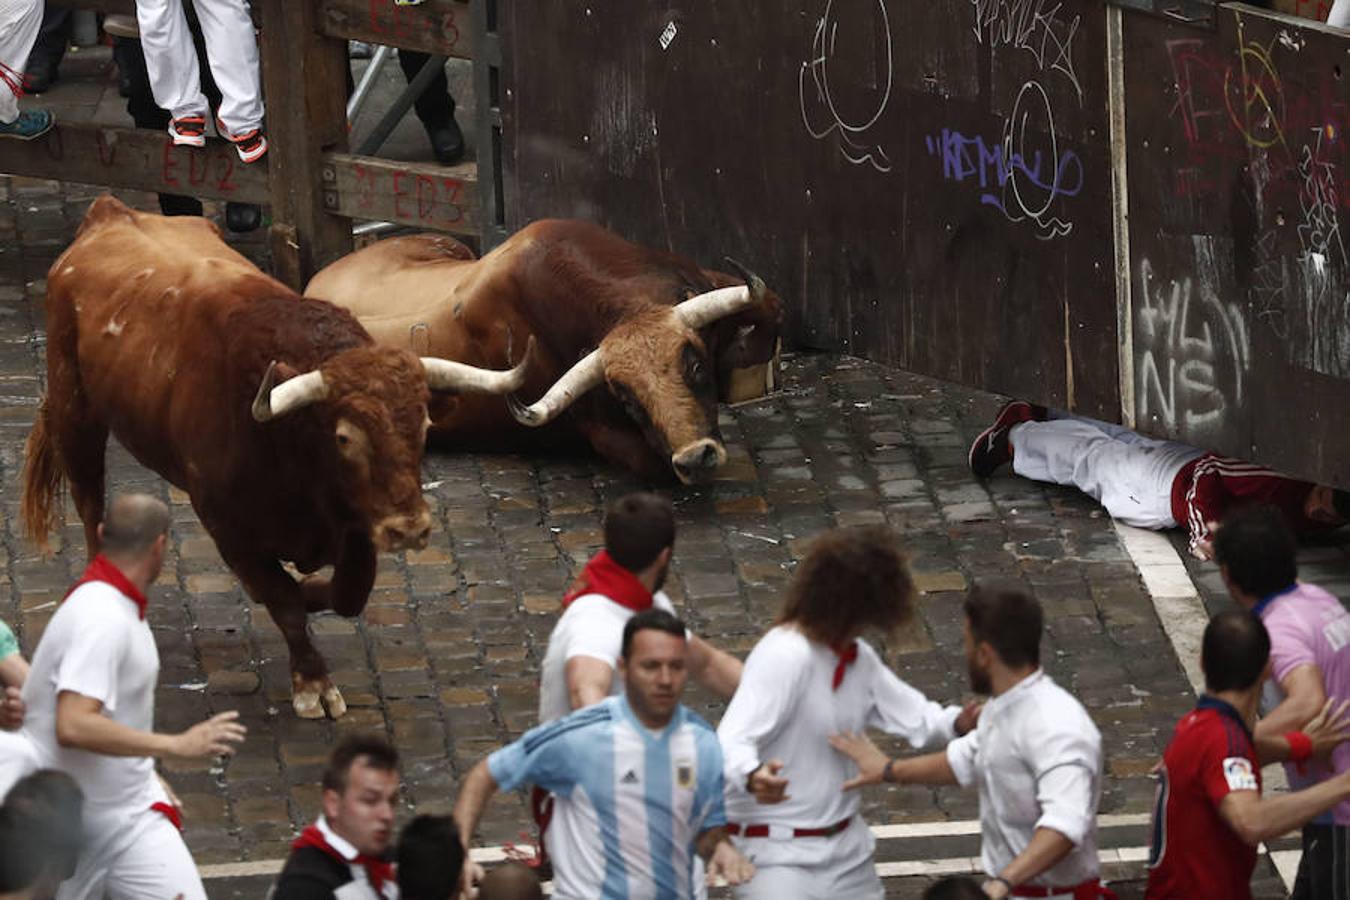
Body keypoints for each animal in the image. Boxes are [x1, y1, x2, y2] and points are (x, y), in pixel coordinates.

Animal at [22, 197, 526, 717]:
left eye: (424, 427)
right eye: (344, 438)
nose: (408, 529)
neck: (291, 448)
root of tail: (109, 213)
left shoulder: (356, 525)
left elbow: (346, 593)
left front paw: (312, 594)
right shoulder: (228, 528)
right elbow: (281, 599)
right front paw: (312, 682)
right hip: (75, 414)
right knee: (89, 504)